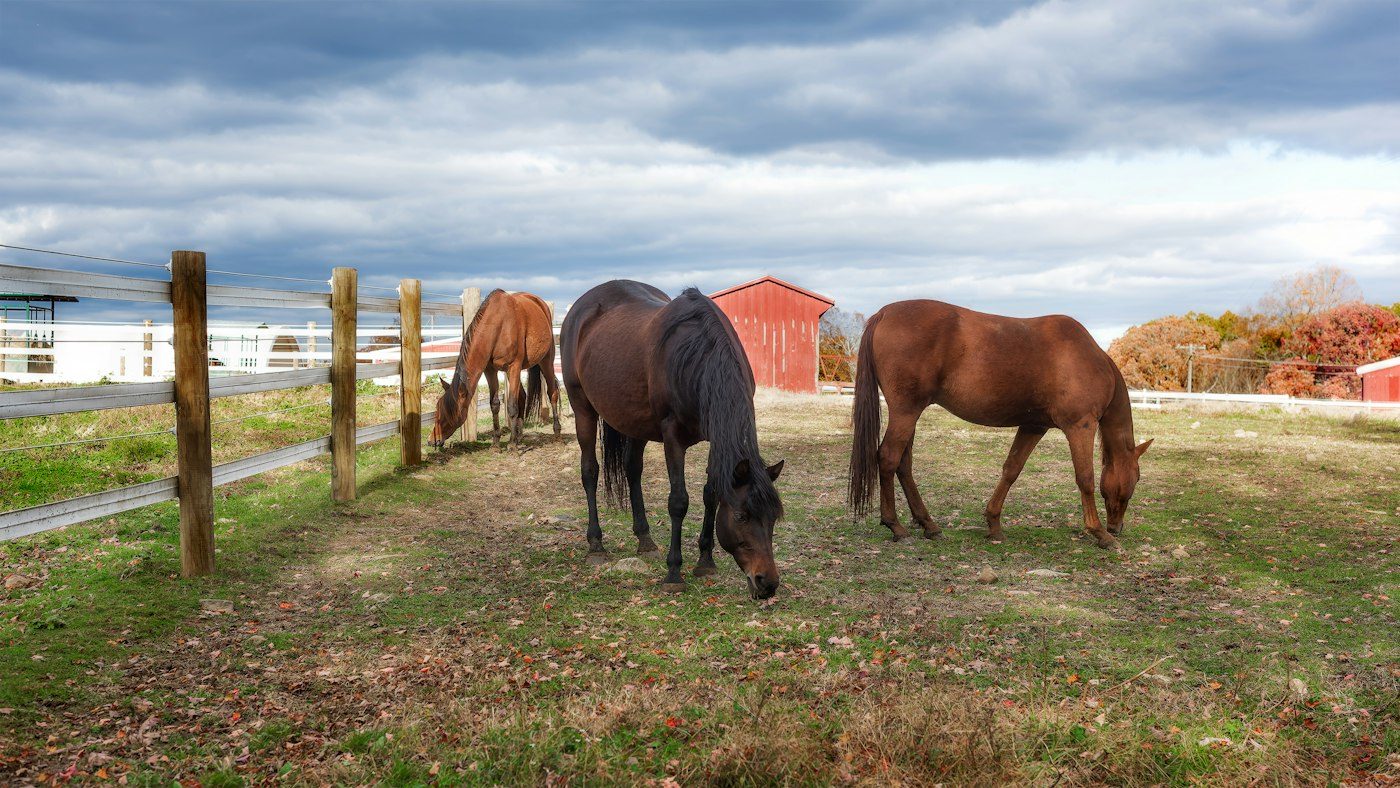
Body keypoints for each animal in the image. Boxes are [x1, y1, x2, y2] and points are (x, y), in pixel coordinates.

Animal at [429, 289, 561, 450]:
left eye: (445, 412)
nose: (431, 440)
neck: (498, 325)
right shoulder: (490, 371)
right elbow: (494, 405)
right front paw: (496, 443)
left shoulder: (514, 367)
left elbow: (511, 406)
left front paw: (512, 445)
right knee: (522, 396)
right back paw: (519, 436)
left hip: (545, 361)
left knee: (552, 392)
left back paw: (556, 433)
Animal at [560, 281, 785, 599]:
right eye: (741, 516)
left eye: (773, 517)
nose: (767, 583)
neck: (698, 359)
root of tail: (579, 308)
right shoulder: (673, 438)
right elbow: (678, 501)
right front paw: (674, 572)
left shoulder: (715, 437)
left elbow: (711, 493)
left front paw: (705, 561)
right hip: (583, 409)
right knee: (590, 472)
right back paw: (596, 545)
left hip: (634, 422)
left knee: (632, 470)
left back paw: (645, 540)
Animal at [847, 300, 1151, 549]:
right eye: (1136, 478)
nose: (1117, 527)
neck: (1090, 360)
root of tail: (884, 313)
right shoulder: (1081, 426)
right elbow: (1085, 477)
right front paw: (1099, 533)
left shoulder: (1033, 426)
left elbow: (1011, 470)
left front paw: (993, 524)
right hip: (906, 412)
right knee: (888, 458)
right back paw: (896, 527)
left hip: (910, 414)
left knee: (903, 464)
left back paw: (928, 525)